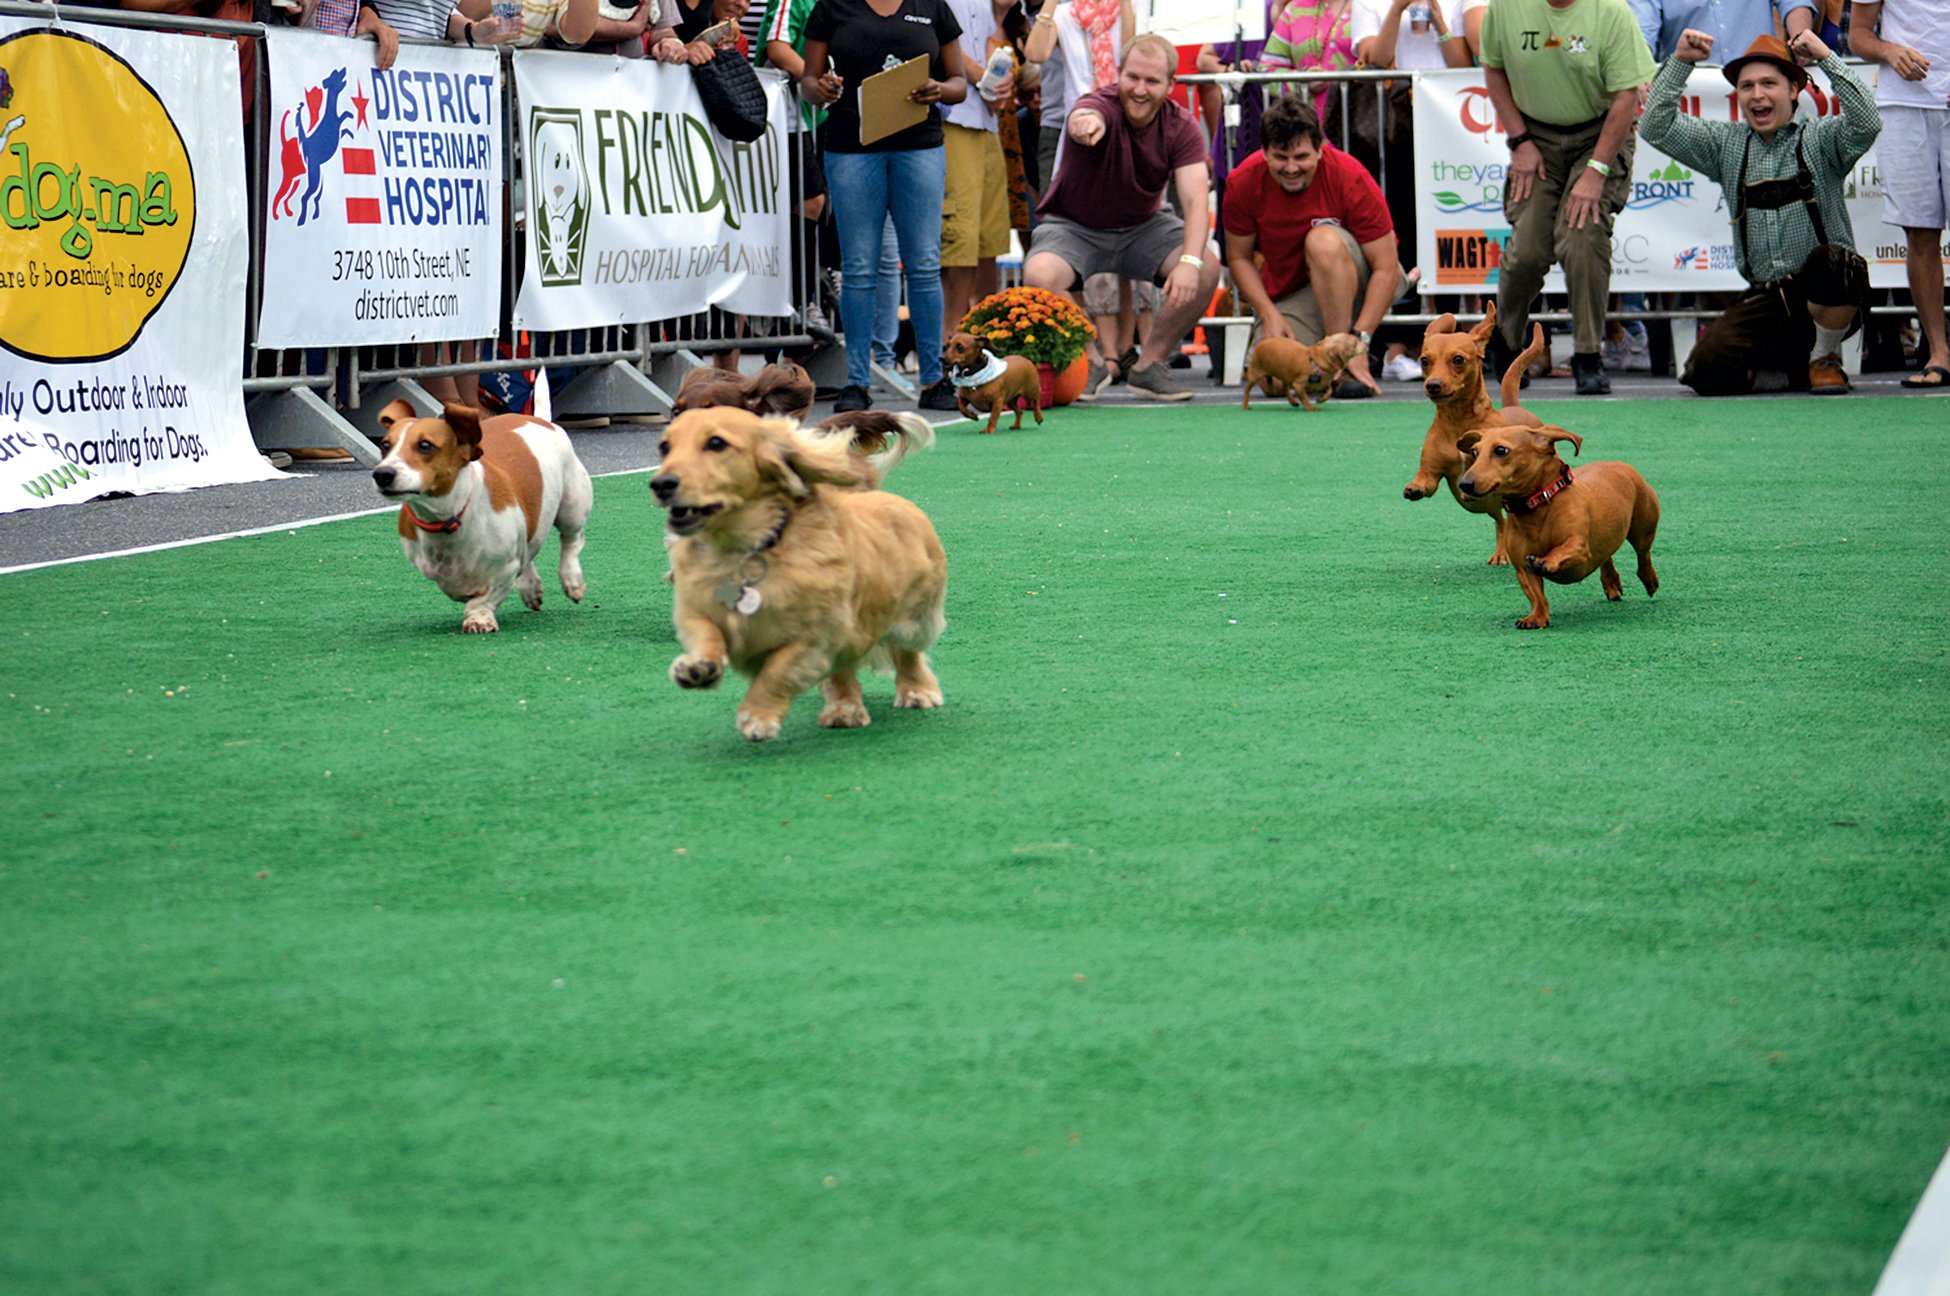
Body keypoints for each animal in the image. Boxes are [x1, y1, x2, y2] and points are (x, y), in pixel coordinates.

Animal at [372, 399, 592, 631]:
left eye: (425, 445)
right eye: (385, 445)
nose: (382, 474)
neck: (450, 517)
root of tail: (539, 420)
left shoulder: (505, 569)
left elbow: (485, 596)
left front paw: (479, 617)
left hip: (573, 506)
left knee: (571, 540)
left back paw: (572, 579)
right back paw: (530, 587)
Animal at [651, 409, 947, 744]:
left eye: (716, 443)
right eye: (664, 447)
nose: (661, 484)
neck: (745, 551)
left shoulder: (813, 636)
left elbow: (778, 672)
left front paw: (758, 716)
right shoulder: (697, 610)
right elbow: (706, 634)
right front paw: (698, 668)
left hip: (914, 620)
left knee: (907, 651)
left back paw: (916, 691)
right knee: (843, 671)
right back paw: (844, 709)